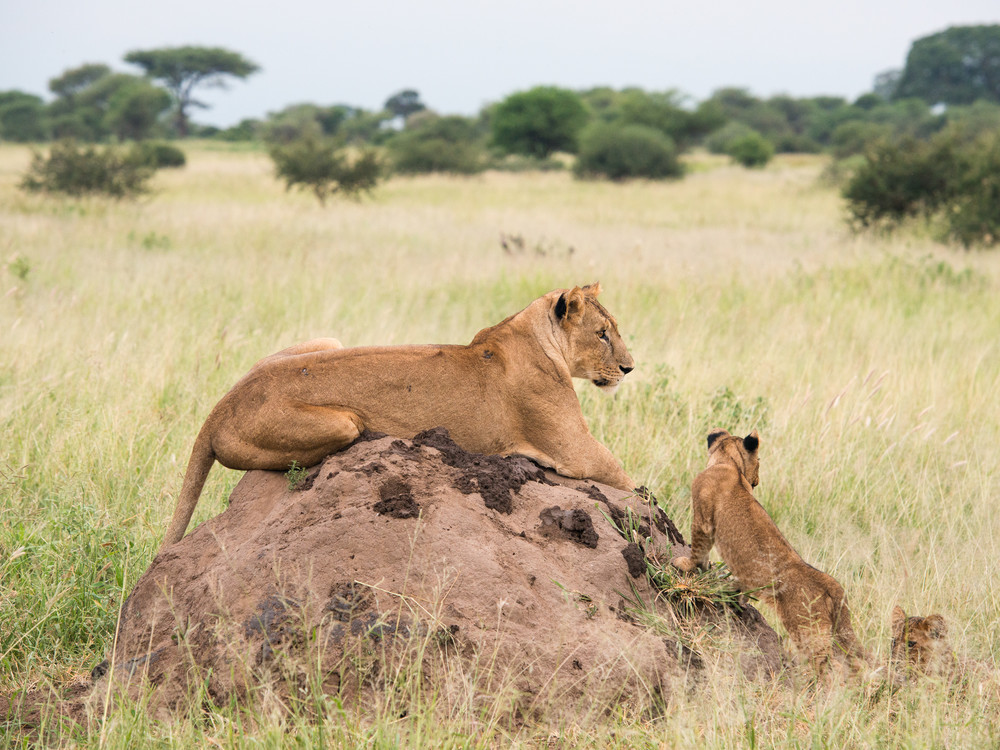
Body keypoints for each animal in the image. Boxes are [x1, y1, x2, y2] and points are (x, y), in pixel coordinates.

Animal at [159, 283, 635, 551]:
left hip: (328, 341)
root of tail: (220, 406)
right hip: (344, 423)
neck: (533, 333)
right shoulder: (575, 451)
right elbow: (631, 483)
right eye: (602, 333)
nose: (629, 368)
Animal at [672, 429, 868, 673]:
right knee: (852, 663)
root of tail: (829, 583)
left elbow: (698, 550)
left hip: (807, 630)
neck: (729, 464)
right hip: (836, 631)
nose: (757, 481)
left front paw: (686, 565)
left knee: (830, 665)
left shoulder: (703, 519)